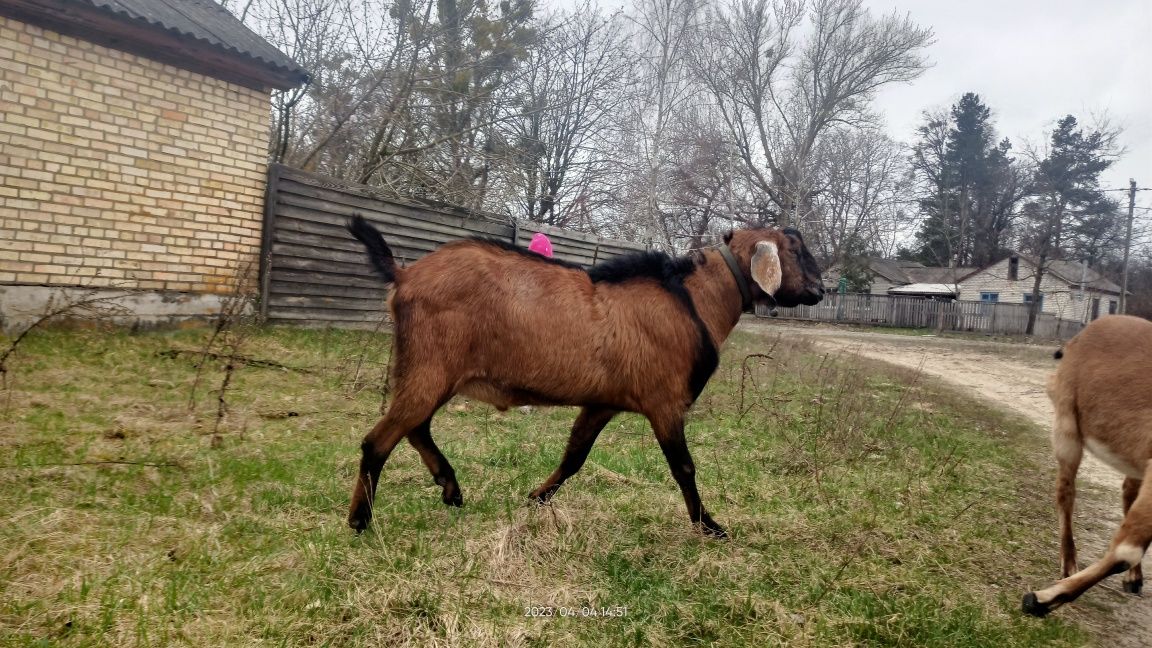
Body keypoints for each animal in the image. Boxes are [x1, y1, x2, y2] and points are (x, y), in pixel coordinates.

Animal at [345, 216, 824, 535]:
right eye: (795, 248)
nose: (821, 290)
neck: (693, 300)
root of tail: (405, 274)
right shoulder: (665, 403)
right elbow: (684, 467)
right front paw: (709, 525)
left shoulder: (602, 402)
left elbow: (574, 456)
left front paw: (535, 498)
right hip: (431, 366)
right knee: (380, 440)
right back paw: (360, 519)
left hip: (429, 371)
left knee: (416, 426)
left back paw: (450, 487)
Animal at [1027, 313, 1152, 613]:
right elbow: (1126, 551)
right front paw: (1042, 598)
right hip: (1066, 430)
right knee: (1065, 491)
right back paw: (1069, 566)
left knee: (1127, 493)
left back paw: (1134, 579)